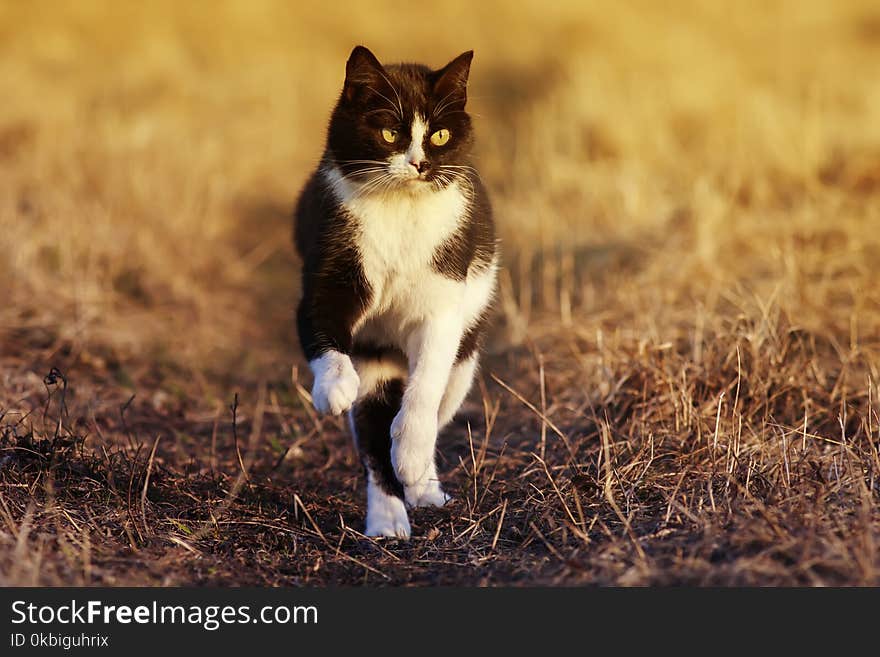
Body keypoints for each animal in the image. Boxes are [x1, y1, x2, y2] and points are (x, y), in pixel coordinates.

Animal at [294, 46, 496, 540]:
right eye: (388, 132)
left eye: (440, 134)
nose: (420, 164)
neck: (401, 210)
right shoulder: (329, 270)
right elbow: (321, 327)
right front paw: (334, 388)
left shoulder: (442, 306)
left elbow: (424, 389)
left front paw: (411, 456)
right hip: (376, 356)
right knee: (372, 427)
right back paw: (387, 519)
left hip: (466, 354)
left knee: (439, 399)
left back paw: (422, 485)